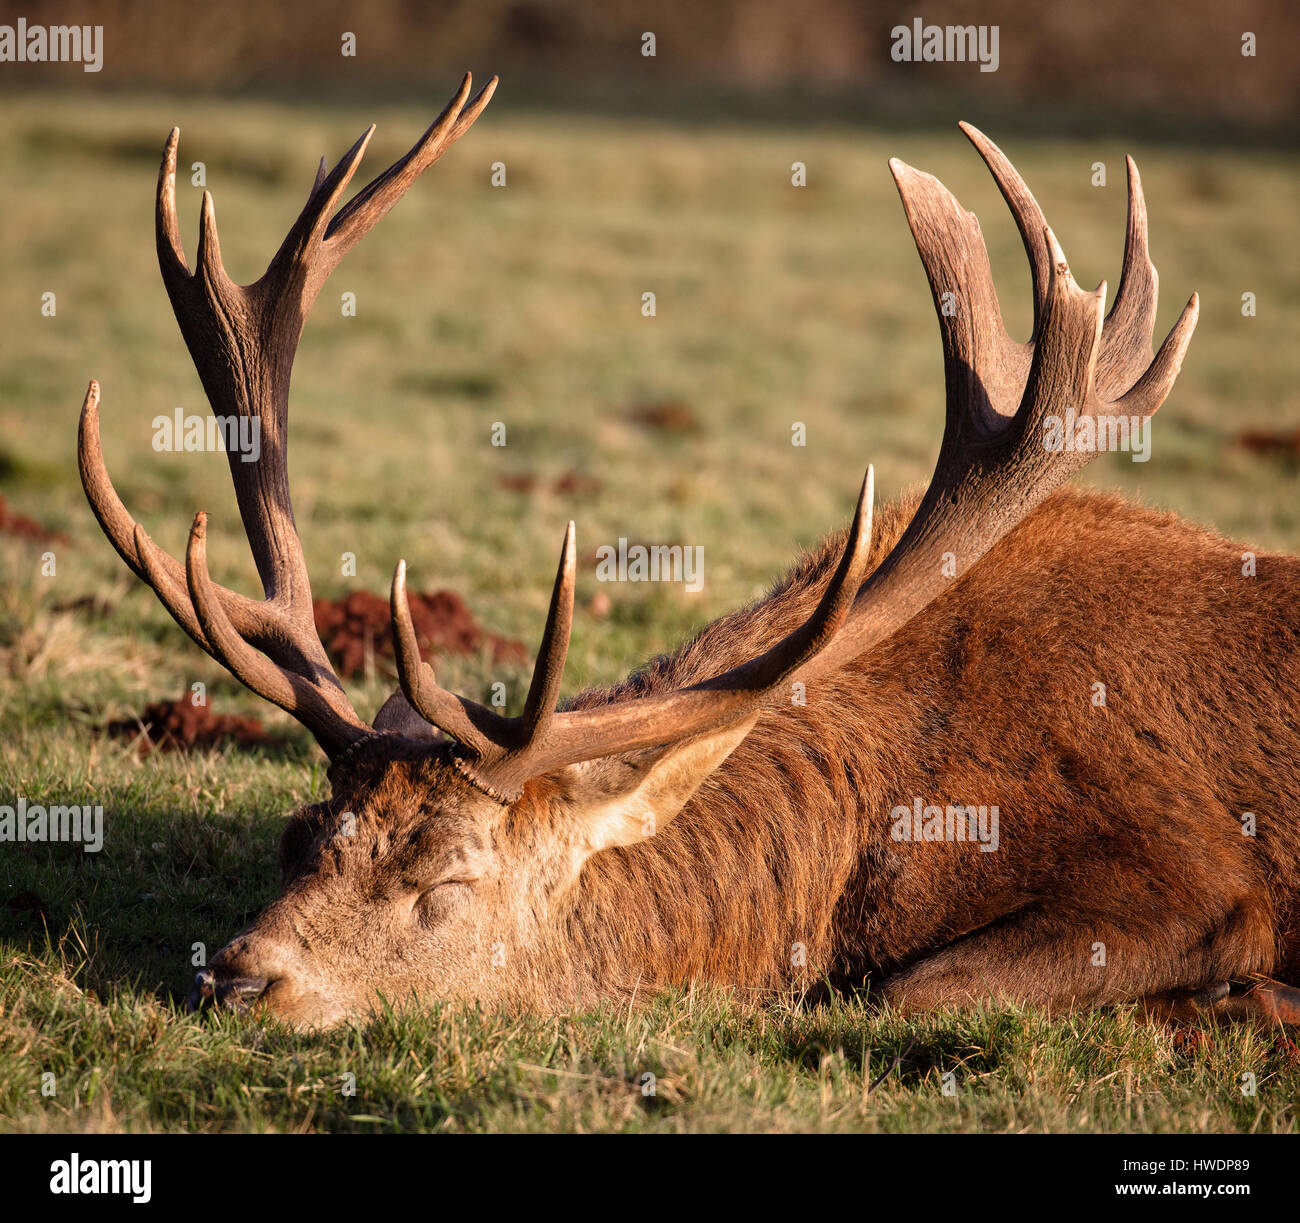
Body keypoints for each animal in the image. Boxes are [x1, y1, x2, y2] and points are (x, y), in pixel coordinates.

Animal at [77, 74, 1300, 1031]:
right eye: (299, 837)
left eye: (447, 877)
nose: (235, 977)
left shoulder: (1190, 871)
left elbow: (911, 987)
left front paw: (1245, 1000)